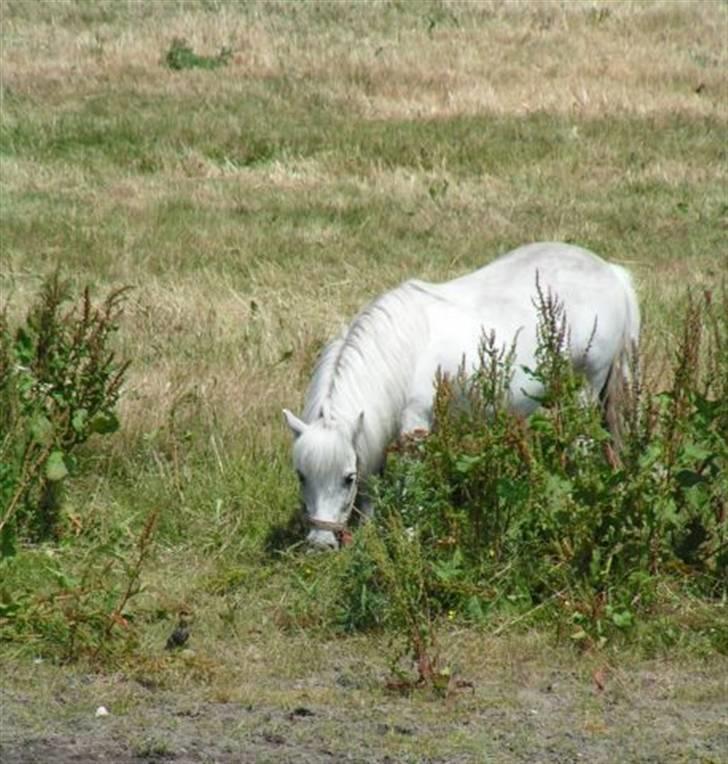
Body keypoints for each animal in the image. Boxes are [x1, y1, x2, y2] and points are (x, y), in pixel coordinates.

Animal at [284, 242, 636, 548]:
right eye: (301, 476)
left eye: (346, 478)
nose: (320, 544)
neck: (404, 352)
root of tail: (610, 270)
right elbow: (373, 480)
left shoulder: (415, 429)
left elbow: (409, 482)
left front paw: (409, 535)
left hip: (586, 389)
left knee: (583, 444)